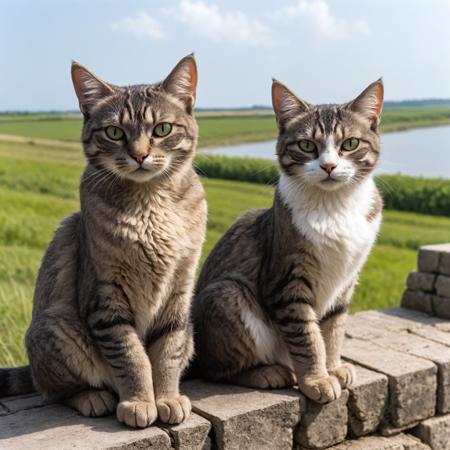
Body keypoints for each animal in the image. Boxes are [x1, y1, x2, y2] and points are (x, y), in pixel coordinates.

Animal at [0, 54, 207, 428]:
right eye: (114, 132)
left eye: (162, 129)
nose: (139, 155)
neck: (150, 204)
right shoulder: (107, 300)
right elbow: (131, 357)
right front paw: (140, 401)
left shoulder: (179, 294)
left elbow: (167, 353)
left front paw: (166, 397)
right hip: (57, 328)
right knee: (54, 390)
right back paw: (92, 397)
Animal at [192, 78, 384, 404]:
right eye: (307, 145)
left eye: (350, 144)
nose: (329, 166)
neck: (334, 206)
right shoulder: (288, 281)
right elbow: (307, 337)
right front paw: (317, 379)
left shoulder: (347, 279)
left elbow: (333, 328)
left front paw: (333, 367)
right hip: (226, 294)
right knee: (214, 370)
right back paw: (267, 372)